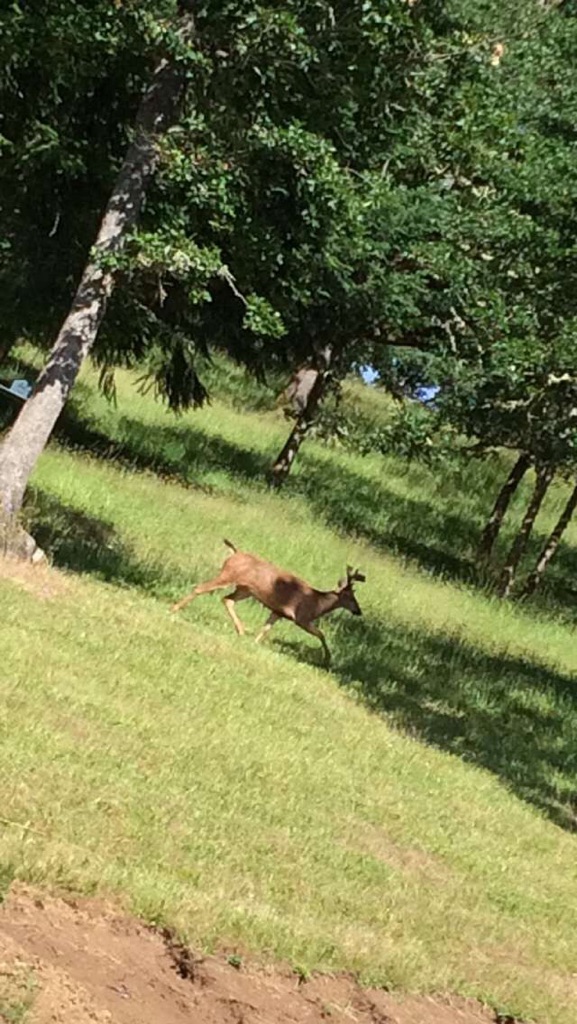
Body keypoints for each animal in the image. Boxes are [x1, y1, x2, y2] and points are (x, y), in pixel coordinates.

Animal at [169, 540, 364, 667]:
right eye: (351, 597)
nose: (359, 611)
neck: (317, 604)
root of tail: (235, 552)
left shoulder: (278, 612)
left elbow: (265, 629)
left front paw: (254, 642)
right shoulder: (300, 618)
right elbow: (321, 634)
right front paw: (328, 659)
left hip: (244, 589)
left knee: (227, 599)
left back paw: (241, 630)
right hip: (228, 576)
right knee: (201, 588)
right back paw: (174, 609)